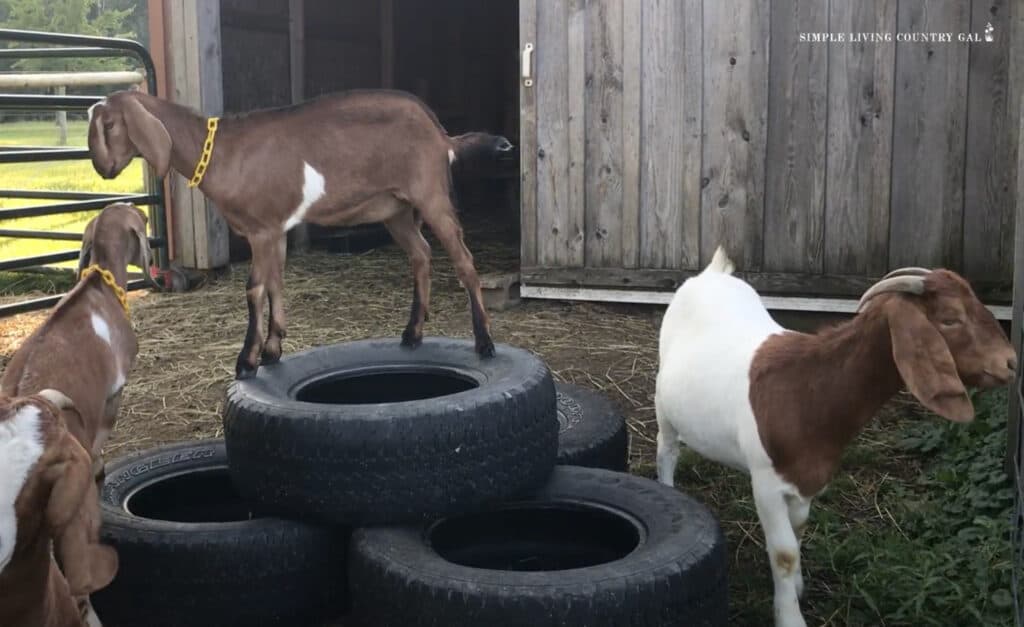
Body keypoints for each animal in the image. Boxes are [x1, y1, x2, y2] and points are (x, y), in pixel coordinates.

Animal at [86, 88, 512, 377]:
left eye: (109, 124)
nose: (102, 168)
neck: (223, 153)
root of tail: (441, 135)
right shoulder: (275, 229)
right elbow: (277, 282)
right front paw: (273, 349)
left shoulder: (261, 228)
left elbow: (255, 288)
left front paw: (247, 360)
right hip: (397, 209)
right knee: (420, 254)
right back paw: (413, 333)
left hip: (431, 194)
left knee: (464, 260)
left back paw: (484, 342)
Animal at [655, 248, 1015, 627]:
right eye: (950, 319)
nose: (1010, 363)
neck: (809, 388)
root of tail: (713, 272)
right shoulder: (766, 483)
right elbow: (784, 553)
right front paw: (790, 617)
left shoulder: (807, 479)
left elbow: (798, 533)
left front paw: (797, 587)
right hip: (664, 403)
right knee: (667, 450)